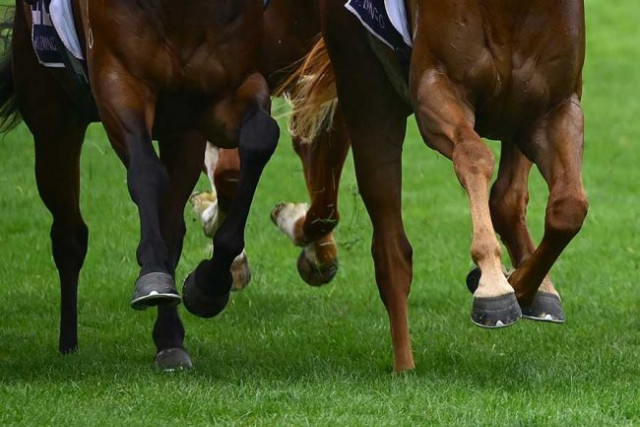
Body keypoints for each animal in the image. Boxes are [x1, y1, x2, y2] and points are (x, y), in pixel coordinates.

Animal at [0, 0, 280, 370]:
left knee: (171, 227)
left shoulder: (224, 92)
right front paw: (152, 275)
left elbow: (261, 137)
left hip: (182, 134)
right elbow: (146, 170)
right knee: (69, 235)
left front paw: (208, 285)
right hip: (52, 121)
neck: (184, 11)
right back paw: (68, 342)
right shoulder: (118, 80)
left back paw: (170, 339)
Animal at [286, 0, 592, 372]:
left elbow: (569, 209)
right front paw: (494, 285)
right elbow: (474, 156)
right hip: (366, 88)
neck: (513, 10)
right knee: (391, 249)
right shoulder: (436, 89)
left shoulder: (553, 110)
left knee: (507, 198)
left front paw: (519, 285)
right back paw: (404, 366)